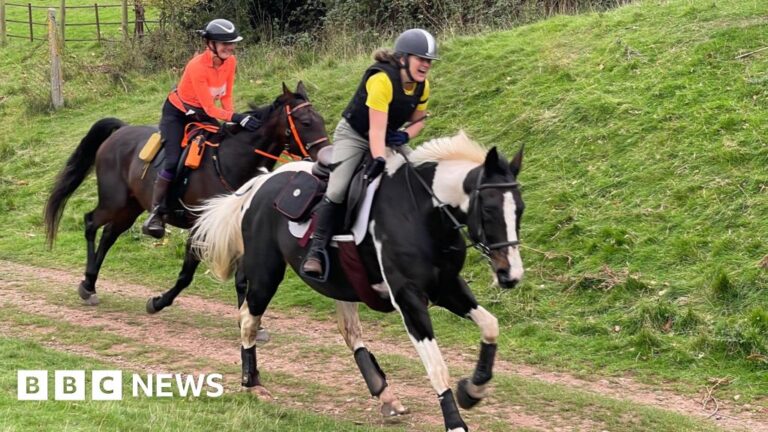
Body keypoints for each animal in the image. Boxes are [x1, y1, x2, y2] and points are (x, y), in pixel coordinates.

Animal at [44, 82, 330, 314]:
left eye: (322, 120)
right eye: (305, 122)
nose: (325, 159)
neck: (231, 162)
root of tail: (120, 131)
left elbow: (242, 280)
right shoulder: (200, 226)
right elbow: (187, 273)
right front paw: (158, 302)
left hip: (130, 207)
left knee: (108, 235)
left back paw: (91, 283)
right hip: (114, 201)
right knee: (91, 223)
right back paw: (87, 286)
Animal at [190, 131, 524, 431]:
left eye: (520, 209)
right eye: (489, 209)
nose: (510, 275)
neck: (421, 213)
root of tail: (260, 183)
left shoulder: (447, 287)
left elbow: (490, 326)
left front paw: (473, 389)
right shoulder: (409, 297)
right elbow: (437, 366)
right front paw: (455, 422)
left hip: (339, 283)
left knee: (350, 332)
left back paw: (386, 395)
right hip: (266, 271)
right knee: (249, 319)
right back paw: (252, 384)